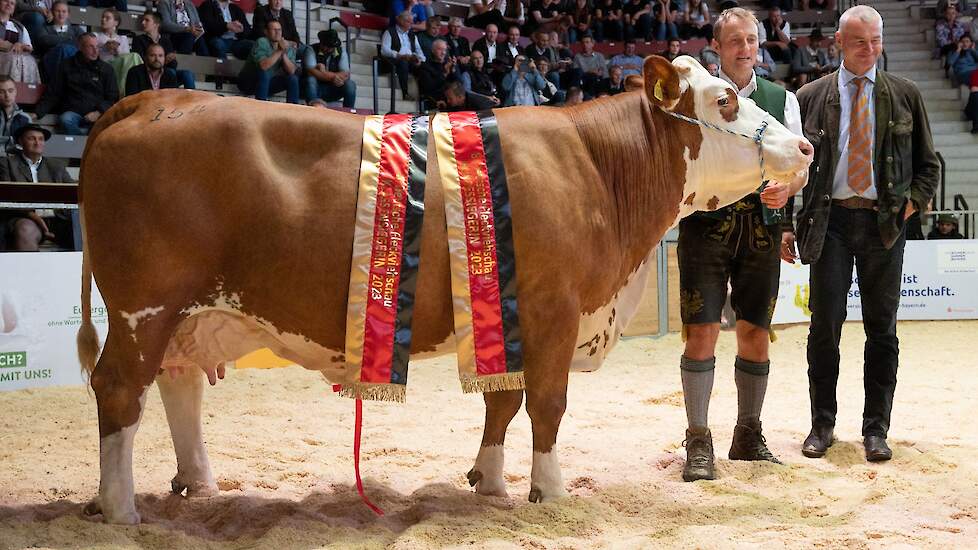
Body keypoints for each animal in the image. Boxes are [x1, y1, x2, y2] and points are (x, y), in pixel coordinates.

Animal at [74, 56, 808, 528]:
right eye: (725, 99)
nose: (803, 148)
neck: (596, 168)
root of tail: (156, 99)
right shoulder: (554, 309)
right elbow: (547, 403)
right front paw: (549, 491)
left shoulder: (512, 317)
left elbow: (502, 402)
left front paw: (489, 481)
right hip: (145, 305)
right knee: (119, 387)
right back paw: (119, 506)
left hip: (186, 312)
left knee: (176, 385)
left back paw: (196, 483)